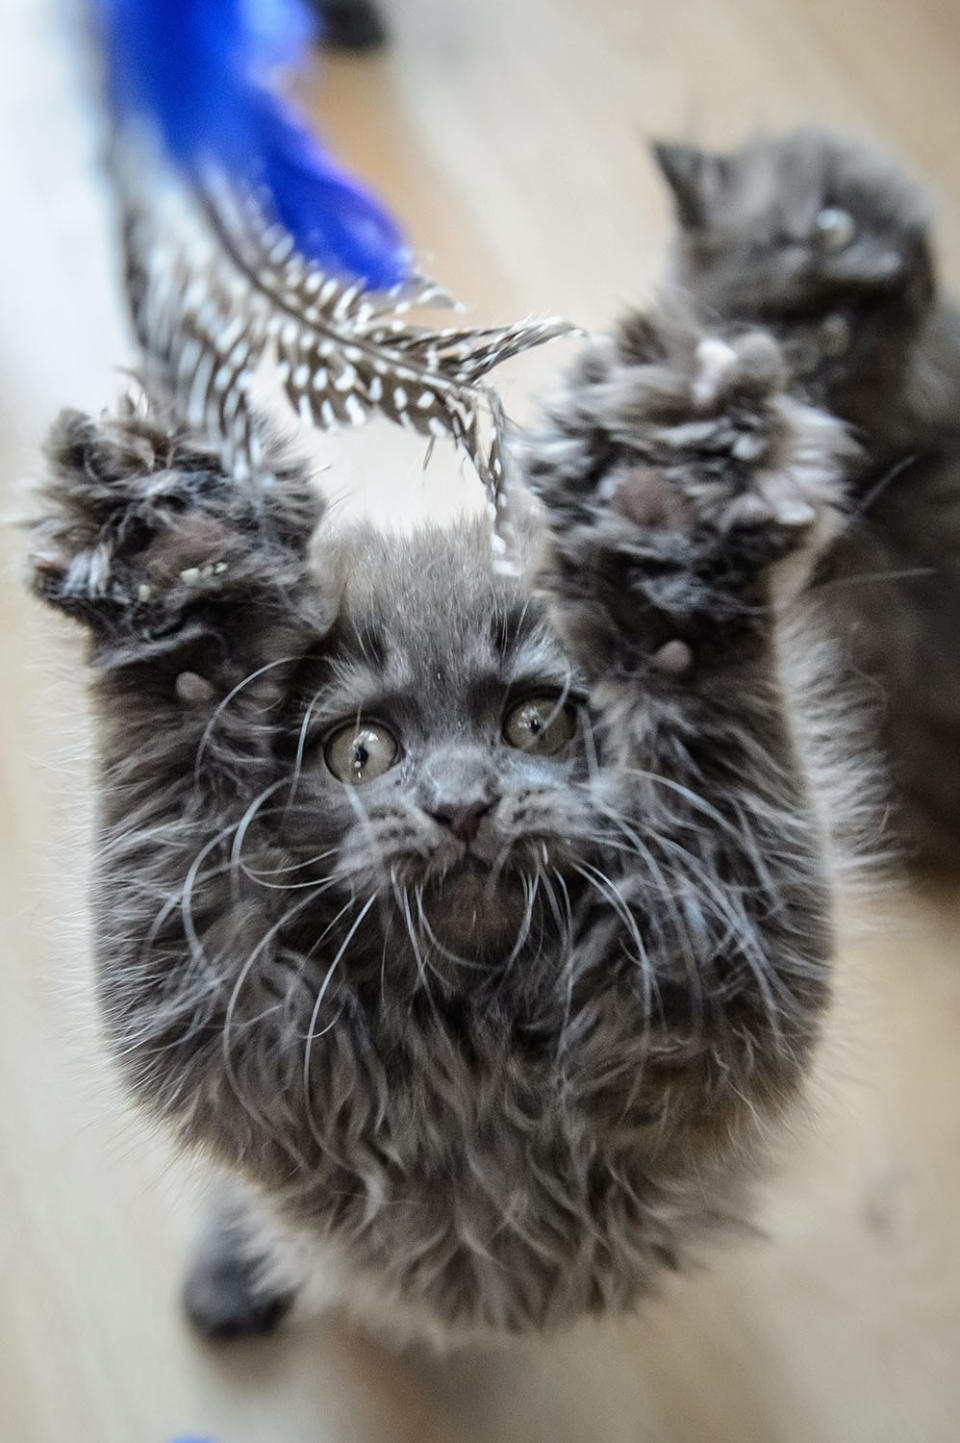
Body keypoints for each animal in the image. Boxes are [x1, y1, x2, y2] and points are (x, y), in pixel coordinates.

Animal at [31, 310, 848, 1344]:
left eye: (536, 723)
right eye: (361, 752)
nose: (461, 803)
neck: (472, 1039)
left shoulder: (714, 1000)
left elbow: (714, 744)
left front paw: (666, 526)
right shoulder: (231, 1018)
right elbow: (174, 750)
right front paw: (181, 569)